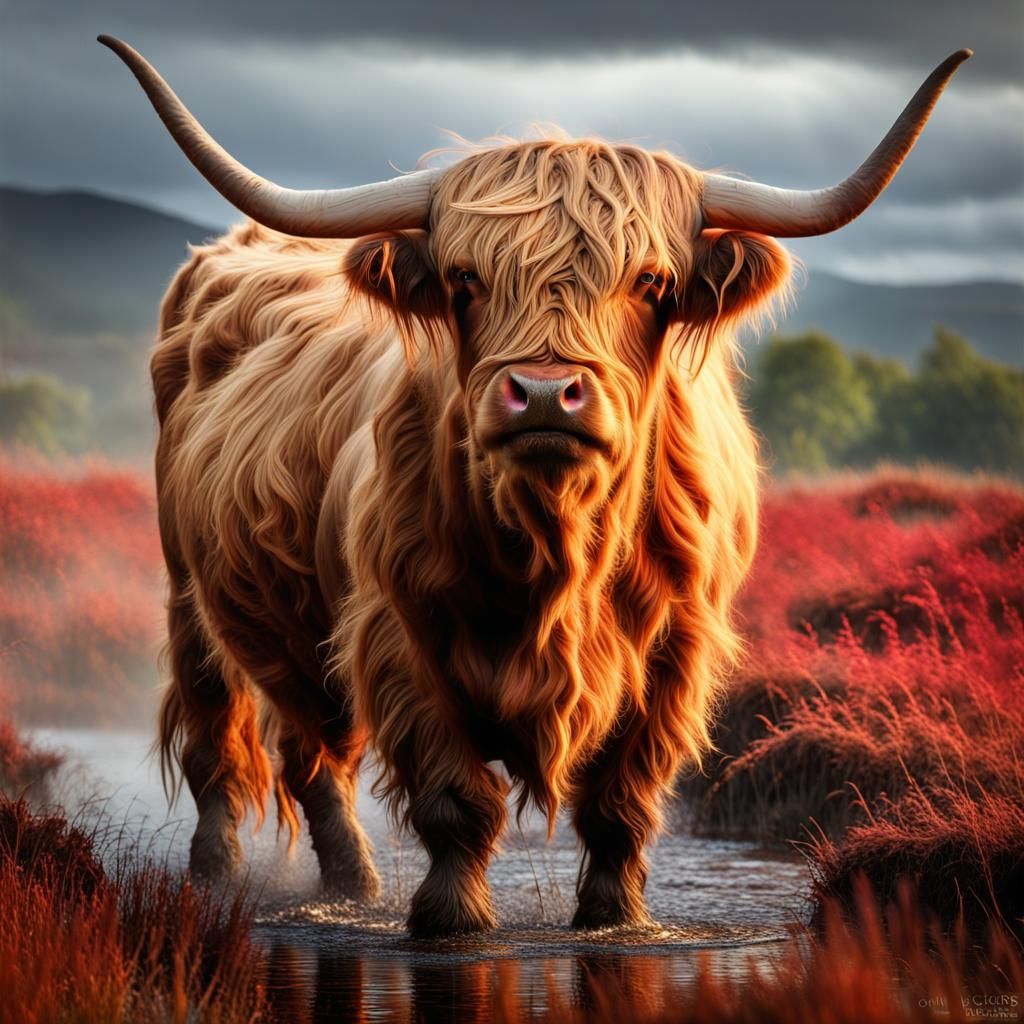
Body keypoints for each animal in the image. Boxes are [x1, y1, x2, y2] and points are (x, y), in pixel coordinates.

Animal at [101, 36, 969, 936]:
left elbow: (621, 804)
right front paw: (452, 918)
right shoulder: (399, 637)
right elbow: (456, 800)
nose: (547, 394)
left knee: (310, 750)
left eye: (650, 282)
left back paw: (347, 885)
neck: (553, 546)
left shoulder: (675, 654)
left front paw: (616, 918)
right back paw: (240, 878)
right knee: (233, 744)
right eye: (464, 280)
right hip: (190, 596)